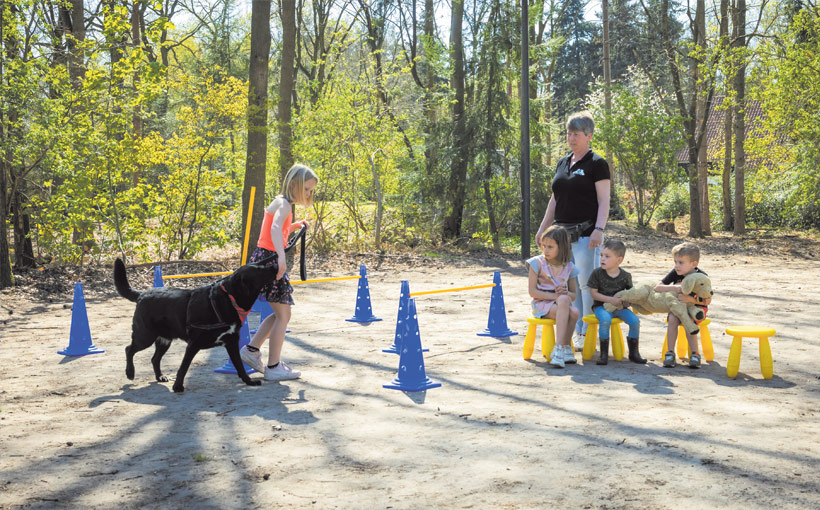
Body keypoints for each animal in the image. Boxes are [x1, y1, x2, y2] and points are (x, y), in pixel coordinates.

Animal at [113, 256, 278, 392]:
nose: (276, 264)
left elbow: (239, 365)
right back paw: (130, 372)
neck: (228, 298)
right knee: (129, 349)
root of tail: (142, 294)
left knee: (154, 358)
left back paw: (160, 376)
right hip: (145, 336)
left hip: (164, 340)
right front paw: (178, 386)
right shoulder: (193, 344)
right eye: (258, 270)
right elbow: (184, 367)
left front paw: (248, 381)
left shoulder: (231, 342)